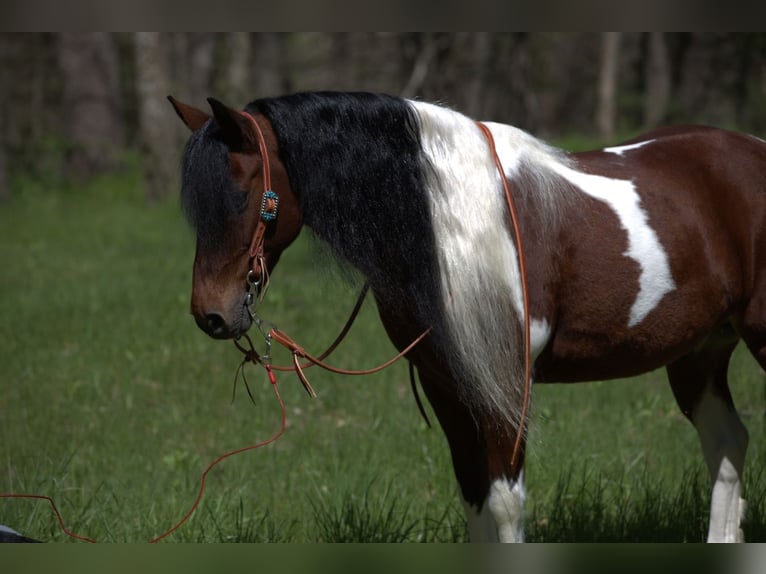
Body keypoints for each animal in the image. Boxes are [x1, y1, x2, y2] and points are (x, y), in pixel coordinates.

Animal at [168, 91, 766, 542]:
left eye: (244, 192)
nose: (211, 314)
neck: (446, 227)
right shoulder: (448, 384)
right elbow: (475, 498)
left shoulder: (506, 383)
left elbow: (504, 502)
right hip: (699, 353)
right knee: (727, 443)